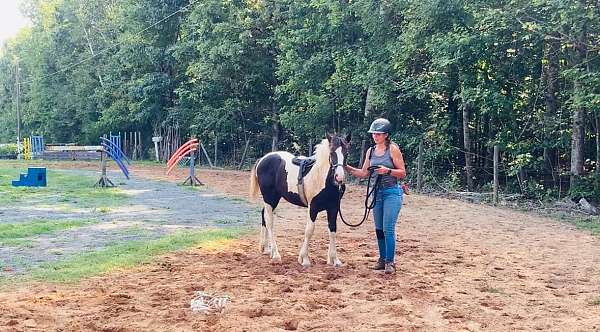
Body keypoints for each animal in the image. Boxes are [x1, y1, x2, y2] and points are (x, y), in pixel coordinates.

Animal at [248, 132, 352, 268]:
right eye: (331, 153)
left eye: (346, 153)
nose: (339, 178)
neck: (322, 178)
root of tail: (262, 159)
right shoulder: (313, 207)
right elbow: (309, 230)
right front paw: (304, 259)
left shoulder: (333, 207)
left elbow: (333, 230)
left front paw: (334, 260)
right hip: (269, 198)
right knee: (269, 221)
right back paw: (276, 254)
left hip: (274, 199)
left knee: (263, 215)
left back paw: (265, 248)